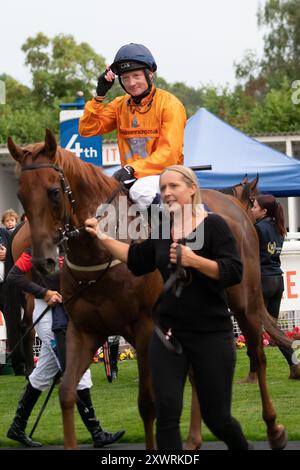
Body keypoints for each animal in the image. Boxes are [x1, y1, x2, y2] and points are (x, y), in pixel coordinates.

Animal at [7, 129, 290, 452]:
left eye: (54, 191)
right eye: (21, 195)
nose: (43, 262)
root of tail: (238, 213)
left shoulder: (144, 331)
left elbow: (147, 403)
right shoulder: (83, 330)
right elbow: (67, 392)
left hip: (246, 303)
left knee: (259, 354)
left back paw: (273, 429)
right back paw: (194, 439)